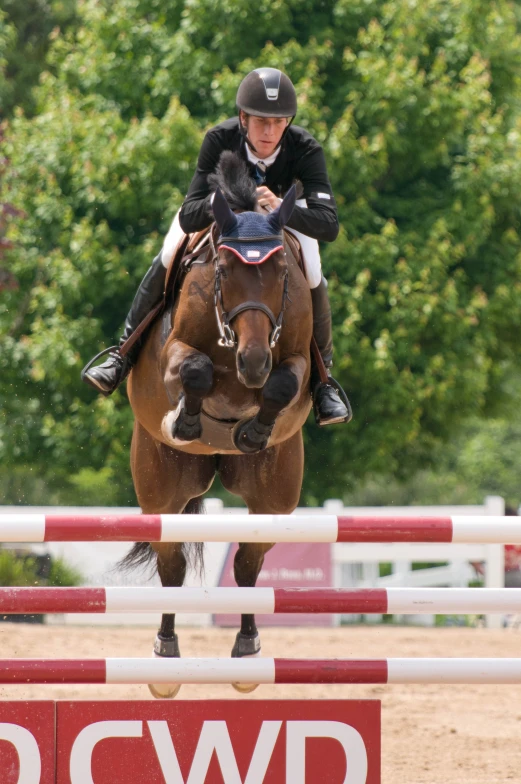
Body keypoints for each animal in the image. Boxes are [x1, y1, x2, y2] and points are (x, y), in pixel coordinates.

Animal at [125, 153, 312, 700]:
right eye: (224, 270)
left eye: (281, 271)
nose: (253, 362)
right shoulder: (172, 353)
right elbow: (194, 369)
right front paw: (186, 418)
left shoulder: (295, 361)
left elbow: (282, 385)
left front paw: (252, 429)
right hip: (162, 487)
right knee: (172, 565)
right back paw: (165, 657)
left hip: (273, 497)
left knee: (248, 564)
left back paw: (247, 651)